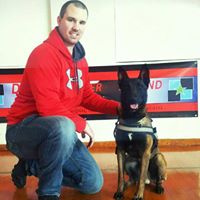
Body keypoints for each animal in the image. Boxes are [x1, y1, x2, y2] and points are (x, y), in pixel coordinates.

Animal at [113, 66, 166, 200]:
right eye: (126, 87)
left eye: (140, 87)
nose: (133, 98)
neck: (132, 119)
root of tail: (149, 180)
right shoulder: (120, 151)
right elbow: (120, 177)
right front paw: (119, 191)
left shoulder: (146, 153)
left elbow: (142, 177)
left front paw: (138, 195)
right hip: (128, 161)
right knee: (132, 179)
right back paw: (126, 186)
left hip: (158, 158)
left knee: (155, 179)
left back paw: (159, 187)